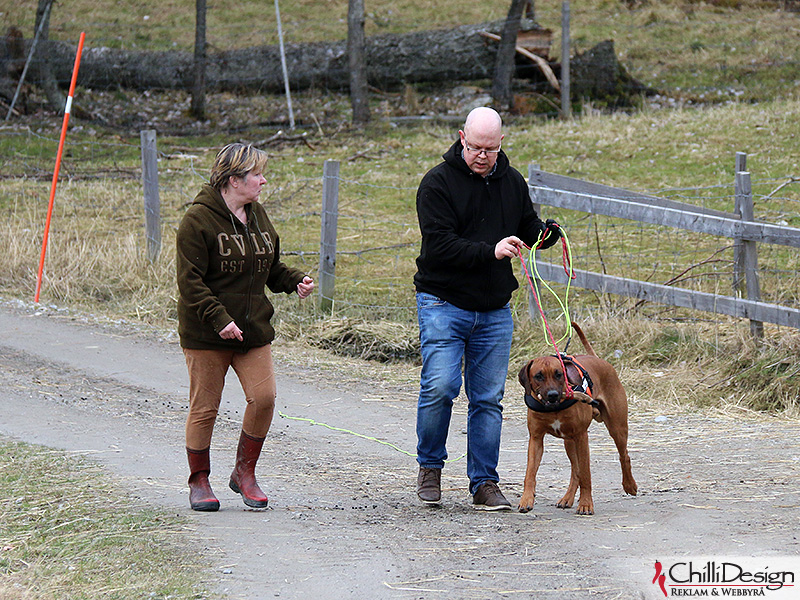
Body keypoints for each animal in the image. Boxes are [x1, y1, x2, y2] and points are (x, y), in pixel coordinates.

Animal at [520, 324, 636, 516]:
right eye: (538, 376)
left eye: (559, 374)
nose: (553, 395)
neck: (554, 408)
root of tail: (598, 359)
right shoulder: (536, 438)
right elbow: (530, 472)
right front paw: (526, 499)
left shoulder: (582, 437)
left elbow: (586, 475)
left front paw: (586, 504)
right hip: (569, 441)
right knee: (575, 470)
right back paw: (567, 498)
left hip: (617, 427)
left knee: (623, 455)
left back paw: (630, 485)